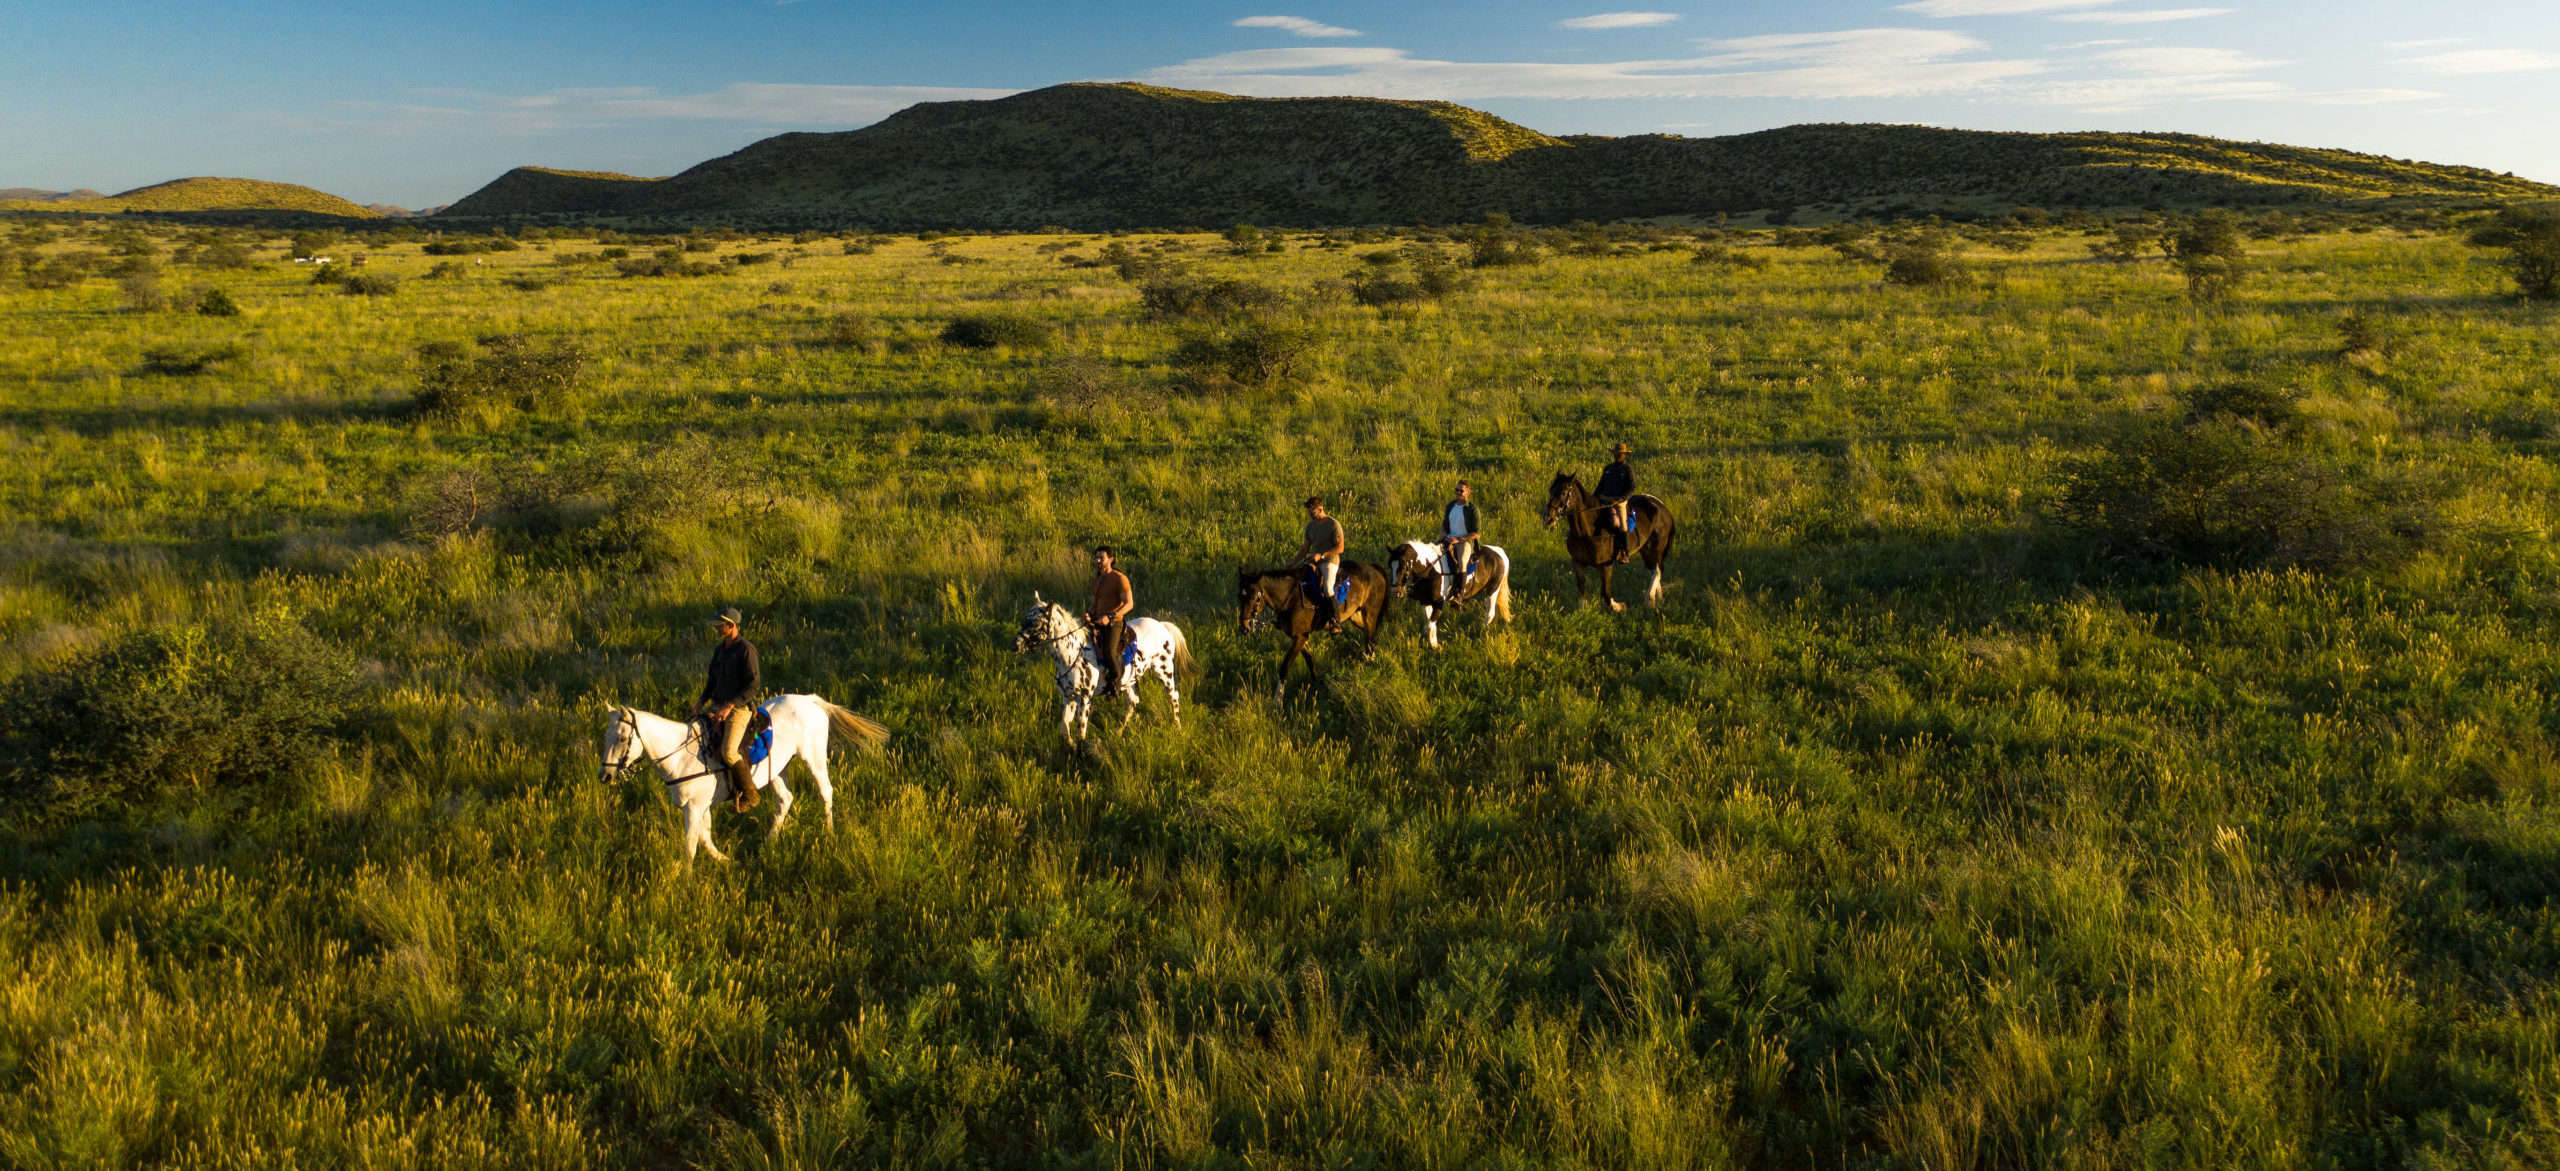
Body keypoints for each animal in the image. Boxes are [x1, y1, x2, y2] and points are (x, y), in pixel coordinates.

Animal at [599, 691, 890, 855]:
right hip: (777, 770)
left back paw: (828, 833)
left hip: (814, 758)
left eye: (623, 737)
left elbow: (690, 847)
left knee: (825, 791)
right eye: (606, 736)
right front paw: (726, 861)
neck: (681, 756)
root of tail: (810, 700)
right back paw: (768, 845)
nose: (605, 777)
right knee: (785, 800)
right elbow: (705, 838)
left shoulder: (695, 807)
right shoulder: (698, 807)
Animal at [1008, 594, 1187, 737]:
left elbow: (1080, 732)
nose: (1015, 646)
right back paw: (1118, 733)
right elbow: (1064, 731)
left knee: (1173, 696)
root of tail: (1162, 625)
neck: (1072, 655)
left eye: (1037, 623)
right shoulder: (1067, 697)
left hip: (1164, 671)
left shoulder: (1085, 699)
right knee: (1131, 703)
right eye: (1025, 620)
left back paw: (1178, 728)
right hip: (1129, 680)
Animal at [1233, 558, 1392, 691]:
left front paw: (1277, 700)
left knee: (1369, 639)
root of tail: (1374, 568)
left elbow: (1285, 667)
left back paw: (1369, 663)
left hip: (1369, 614)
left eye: (1254, 598)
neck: (1291, 598)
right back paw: (1372, 659)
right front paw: (1317, 683)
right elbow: (1310, 660)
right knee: (1371, 636)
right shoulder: (1300, 637)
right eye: (1239, 596)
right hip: (1355, 616)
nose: (1244, 627)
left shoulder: (1299, 637)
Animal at [1536, 468, 1679, 612]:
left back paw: (1649, 599)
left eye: (1563, 492)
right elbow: (1582, 589)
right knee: (1654, 570)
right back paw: (1657, 599)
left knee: (1657, 570)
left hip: (1657, 547)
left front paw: (1620, 607)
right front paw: (1583, 611)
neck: (1587, 533)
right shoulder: (1578, 563)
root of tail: (1662, 507)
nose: (1548, 517)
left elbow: (1606, 594)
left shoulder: (1605, 566)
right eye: (1551, 490)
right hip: (1646, 550)